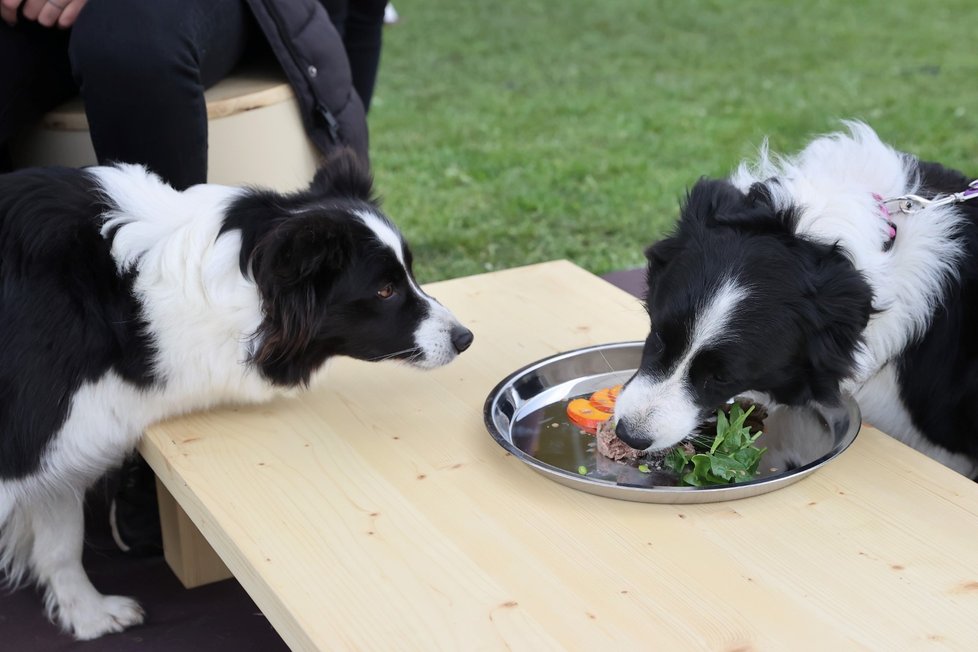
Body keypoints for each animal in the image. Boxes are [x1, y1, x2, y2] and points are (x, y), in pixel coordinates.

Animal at [0, 150, 472, 640]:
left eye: (409, 275)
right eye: (385, 290)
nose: (465, 338)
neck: (136, 299)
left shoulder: (65, 441)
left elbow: (61, 541)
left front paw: (89, 617)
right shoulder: (24, 445)